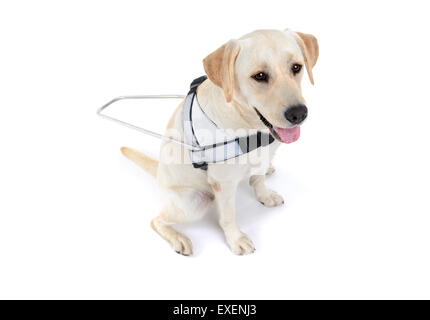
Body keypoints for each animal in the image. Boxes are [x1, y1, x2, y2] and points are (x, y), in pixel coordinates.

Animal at [121, 29, 320, 255]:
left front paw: (265, 194)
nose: (299, 114)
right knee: (156, 221)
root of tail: (159, 172)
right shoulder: (223, 183)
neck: (249, 127)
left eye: (296, 67)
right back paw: (178, 238)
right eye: (260, 76)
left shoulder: (265, 155)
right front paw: (236, 239)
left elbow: (258, 179)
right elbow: (228, 216)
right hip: (192, 203)